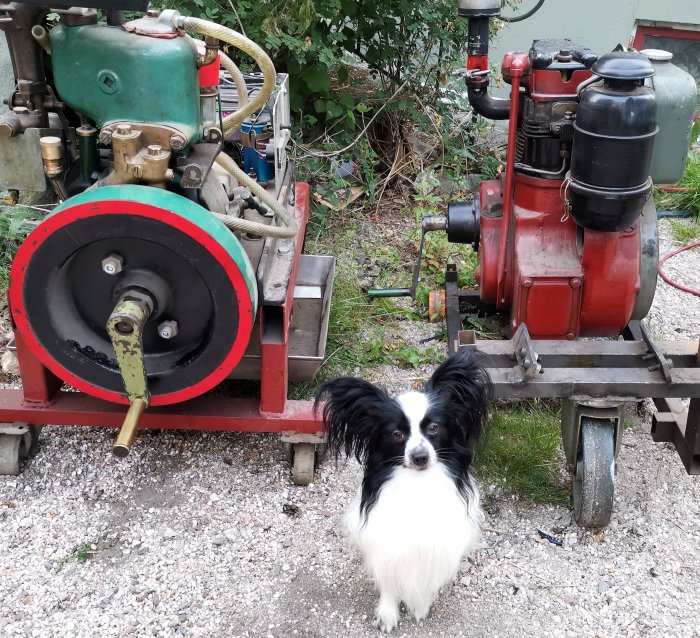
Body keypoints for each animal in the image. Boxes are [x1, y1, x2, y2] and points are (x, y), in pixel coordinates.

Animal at [314, 350, 490, 636]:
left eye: (433, 428)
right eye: (397, 433)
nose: (420, 457)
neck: (416, 484)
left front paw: (421, 606)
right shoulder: (386, 543)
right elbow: (388, 580)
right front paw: (387, 613)